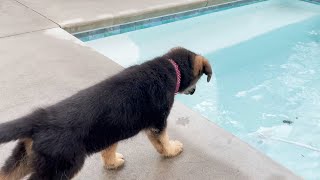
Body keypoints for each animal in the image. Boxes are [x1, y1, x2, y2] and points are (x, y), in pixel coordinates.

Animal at [0, 47, 212, 179]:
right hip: (60, 167)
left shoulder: (111, 130)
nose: (193, 91)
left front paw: (112, 163)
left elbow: (109, 149)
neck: (169, 69)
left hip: (24, 158)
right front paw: (173, 150)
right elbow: (163, 141)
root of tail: (39, 118)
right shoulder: (158, 123)